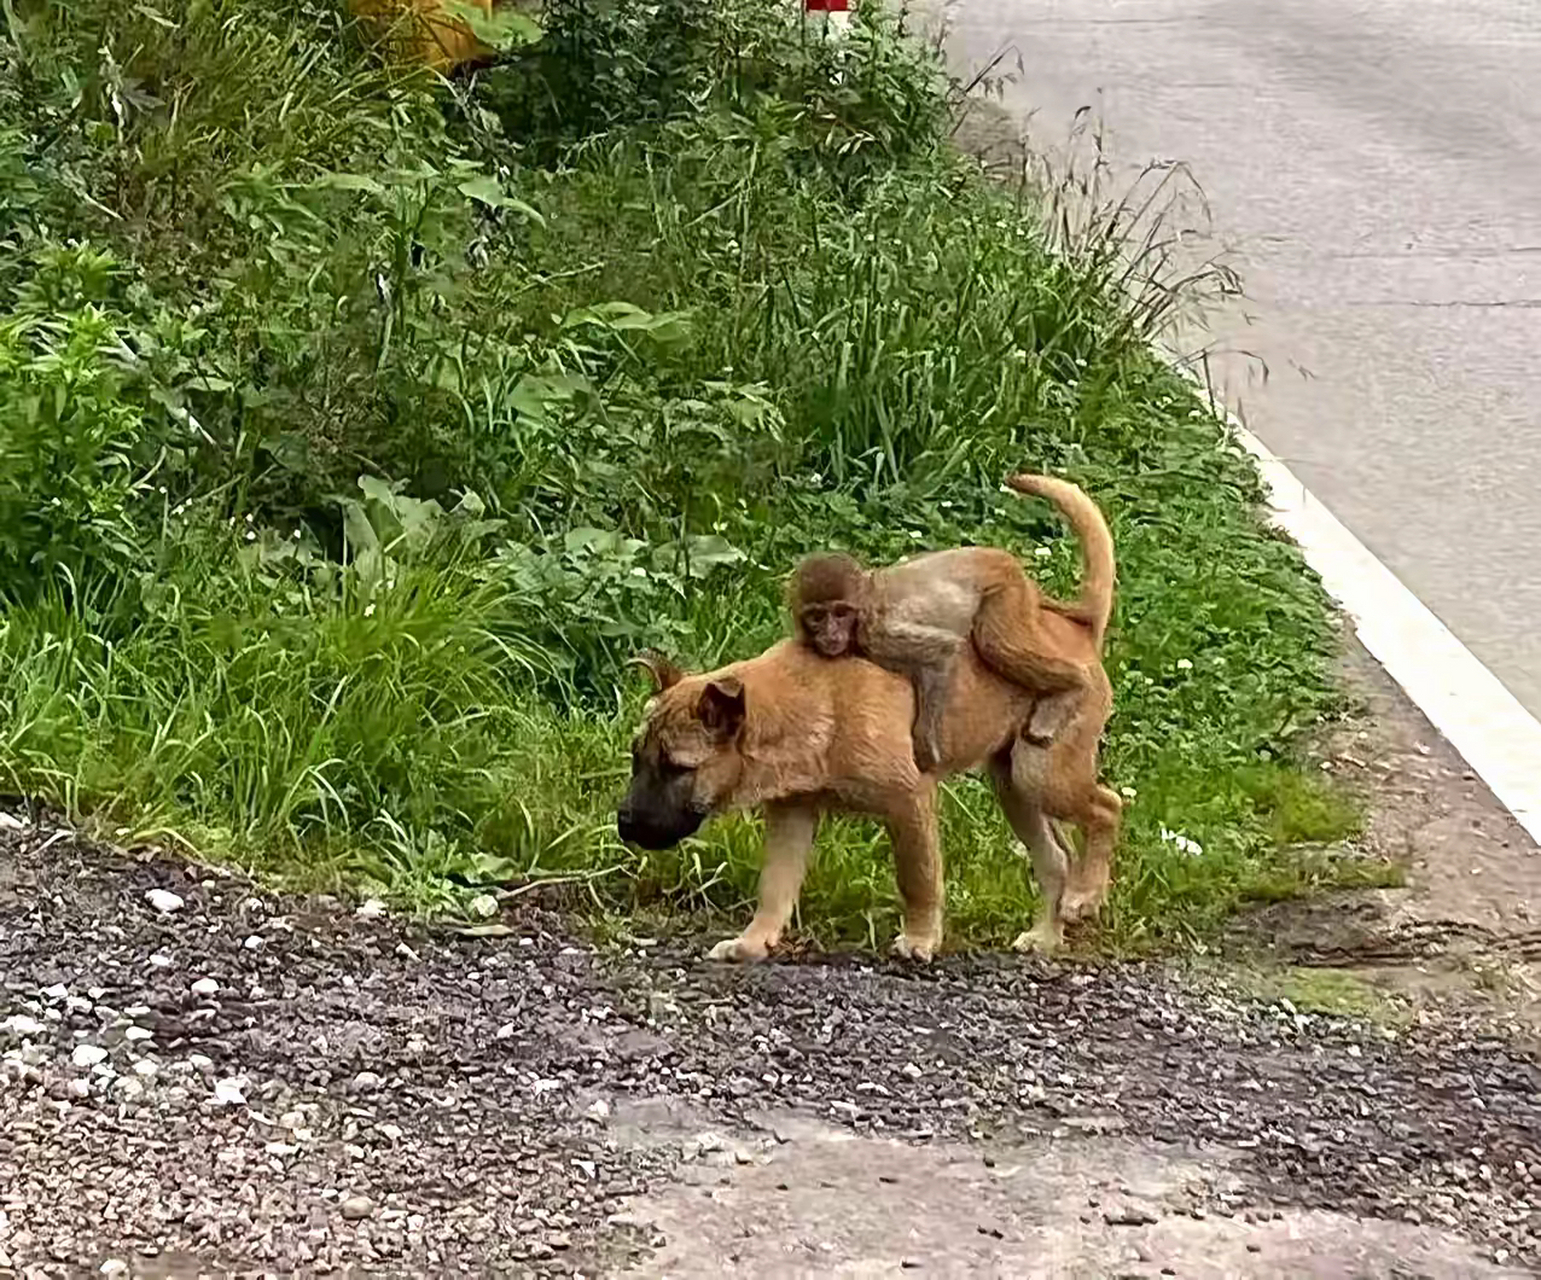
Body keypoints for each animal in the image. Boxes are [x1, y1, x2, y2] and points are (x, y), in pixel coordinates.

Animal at [607, 640, 1103, 961]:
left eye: (678, 768)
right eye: (635, 757)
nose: (624, 823)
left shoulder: (908, 800)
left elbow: (918, 878)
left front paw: (920, 939)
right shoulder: (792, 814)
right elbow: (775, 885)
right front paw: (752, 942)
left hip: (1042, 774)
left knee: (1107, 808)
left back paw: (1087, 894)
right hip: (1014, 786)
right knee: (1056, 857)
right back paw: (1046, 935)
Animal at [795, 471, 1109, 770]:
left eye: (840, 613)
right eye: (817, 617)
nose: (830, 633)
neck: (865, 600)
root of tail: (1000, 559)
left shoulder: (877, 633)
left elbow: (942, 651)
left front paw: (925, 742)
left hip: (1006, 593)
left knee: (996, 645)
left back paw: (1073, 684)